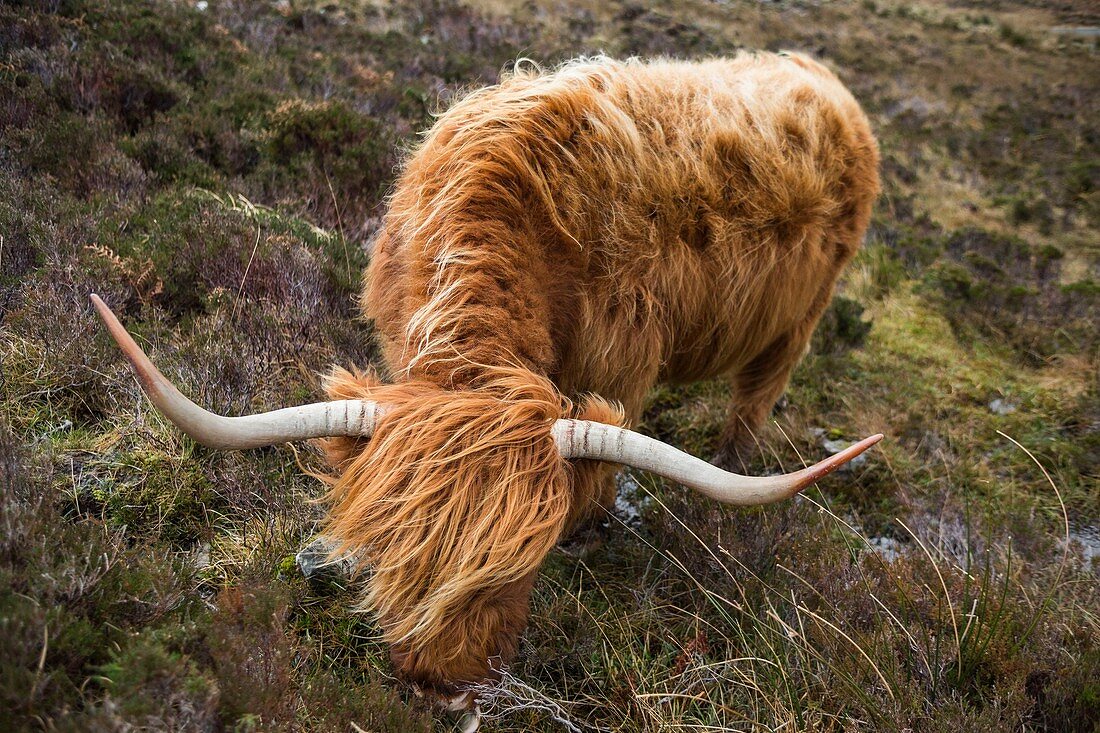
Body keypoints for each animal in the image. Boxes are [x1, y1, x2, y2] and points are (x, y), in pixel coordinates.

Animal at [94, 52, 884, 708]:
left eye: (518, 572)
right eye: (397, 551)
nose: (440, 688)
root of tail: (814, 70)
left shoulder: (623, 368)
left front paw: (590, 534)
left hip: (801, 316)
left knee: (755, 399)